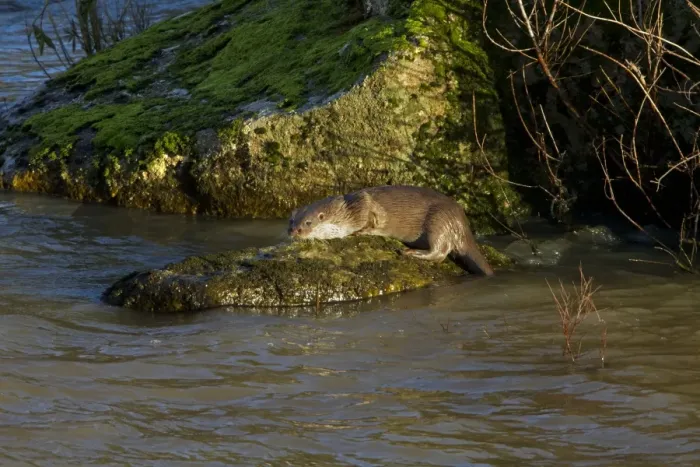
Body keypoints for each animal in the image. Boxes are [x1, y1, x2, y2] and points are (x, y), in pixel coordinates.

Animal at [287, 185, 494, 276]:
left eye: (307, 223)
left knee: (440, 252)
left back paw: (411, 252)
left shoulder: (364, 207)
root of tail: (461, 222)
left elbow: (371, 221)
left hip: (439, 221)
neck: (347, 210)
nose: (293, 232)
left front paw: (361, 232)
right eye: (291, 221)